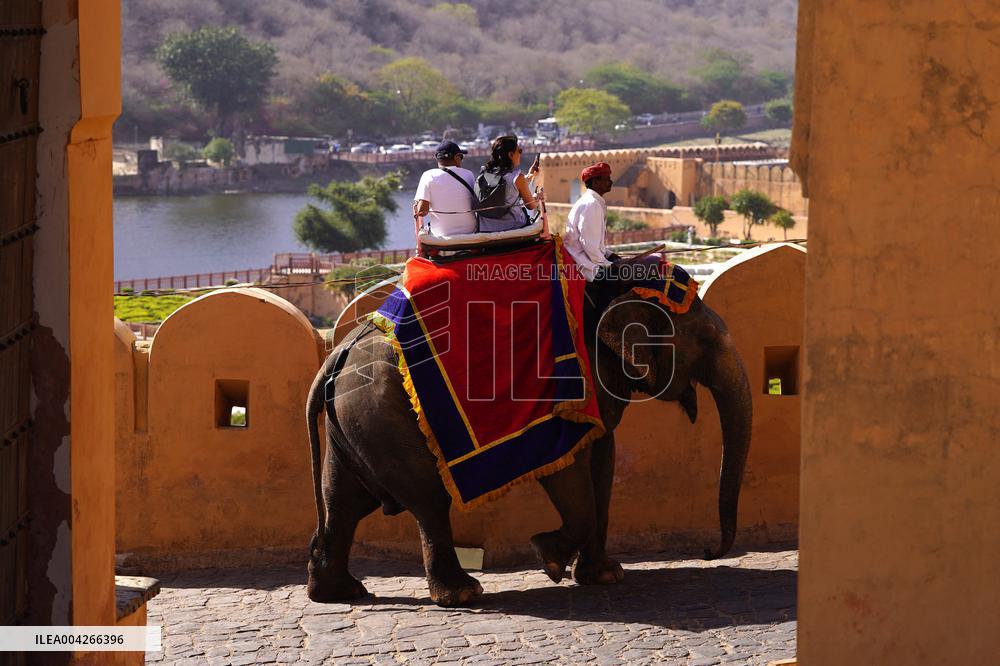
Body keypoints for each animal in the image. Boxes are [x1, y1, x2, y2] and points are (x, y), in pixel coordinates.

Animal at [305, 275, 752, 607]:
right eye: (705, 340)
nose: (709, 551)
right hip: (382, 416)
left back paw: (338, 592)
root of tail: (335, 355)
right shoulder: (565, 391)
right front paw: (548, 558)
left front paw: (604, 576)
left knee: (343, 500)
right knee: (428, 500)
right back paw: (463, 594)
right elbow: (568, 469)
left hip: (356, 421)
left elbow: (603, 461)